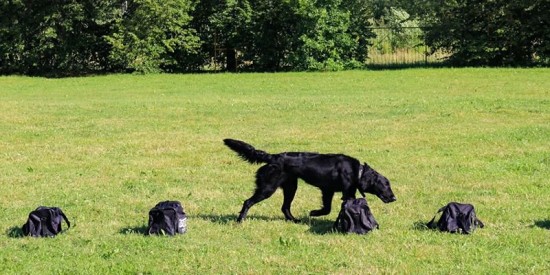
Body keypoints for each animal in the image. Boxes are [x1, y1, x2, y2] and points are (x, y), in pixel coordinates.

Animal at [224, 139, 396, 223]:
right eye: (385, 184)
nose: (394, 198)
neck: (356, 170)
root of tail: (273, 157)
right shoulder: (344, 193)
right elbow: (331, 209)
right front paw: (314, 213)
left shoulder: (328, 191)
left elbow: (327, 208)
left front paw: (315, 213)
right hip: (268, 188)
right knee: (248, 202)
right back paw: (240, 220)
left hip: (291, 187)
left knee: (285, 207)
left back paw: (294, 221)